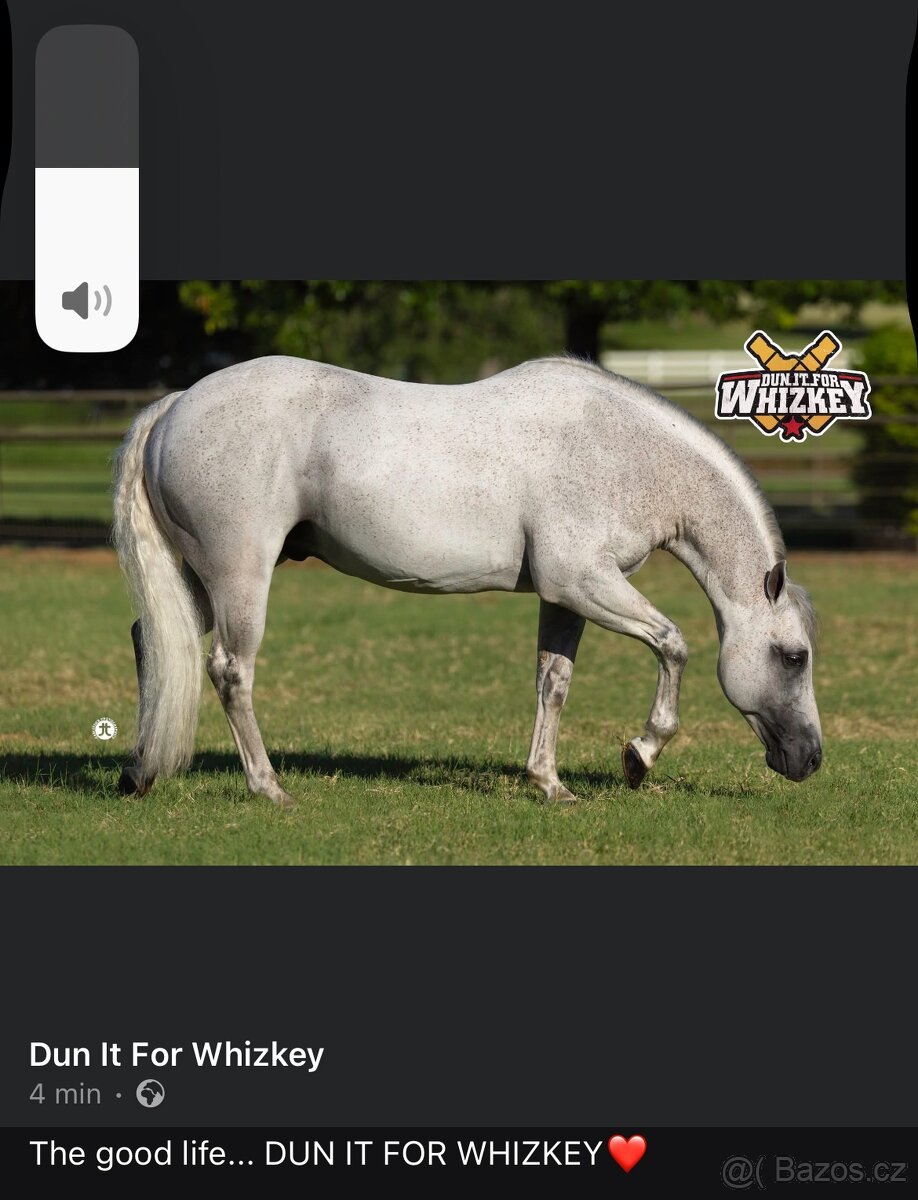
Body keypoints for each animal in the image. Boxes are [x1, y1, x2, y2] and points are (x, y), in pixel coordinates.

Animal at [112, 355, 821, 808]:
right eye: (793, 657)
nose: (811, 760)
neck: (621, 450)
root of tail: (176, 405)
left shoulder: (566, 596)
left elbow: (553, 683)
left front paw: (549, 784)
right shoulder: (584, 582)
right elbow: (673, 643)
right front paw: (639, 756)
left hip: (199, 583)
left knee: (152, 642)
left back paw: (140, 772)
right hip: (241, 577)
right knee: (230, 671)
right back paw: (268, 788)